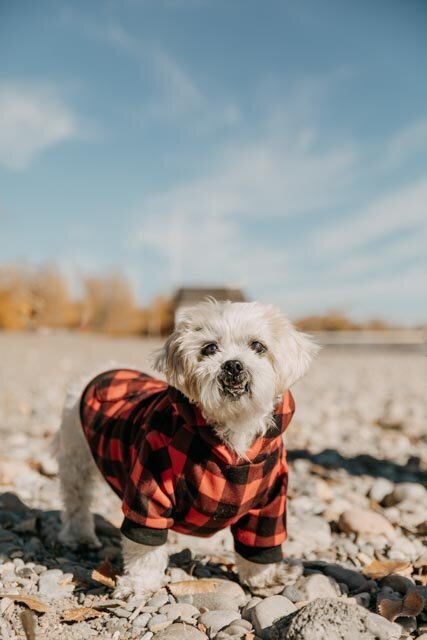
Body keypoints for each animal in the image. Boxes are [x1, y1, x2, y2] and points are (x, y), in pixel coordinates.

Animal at [54, 300, 318, 600]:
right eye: (210, 348)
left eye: (258, 346)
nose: (233, 365)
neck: (232, 432)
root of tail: (104, 369)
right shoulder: (150, 488)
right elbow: (145, 547)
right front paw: (138, 584)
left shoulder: (269, 502)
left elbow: (259, 541)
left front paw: (263, 578)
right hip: (75, 460)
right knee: (76, 500)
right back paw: (79, 536)